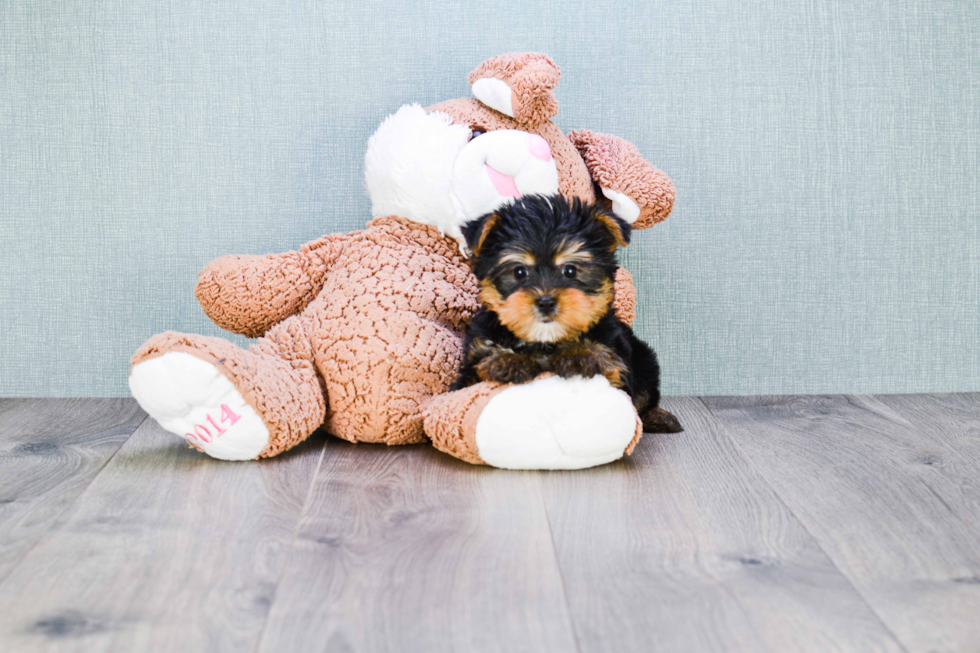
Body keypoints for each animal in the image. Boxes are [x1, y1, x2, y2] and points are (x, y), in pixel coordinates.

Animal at [452, 194, 680, 432]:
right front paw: (506, 360)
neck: (545, 342)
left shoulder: (616, 358)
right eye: (519, 272)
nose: (545, 302)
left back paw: (658, 416)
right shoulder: (473, 360)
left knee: (645, 395)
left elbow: (609, 371)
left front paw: (582, 354)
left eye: (570, 270)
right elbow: (471, 386)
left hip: (644, 359)